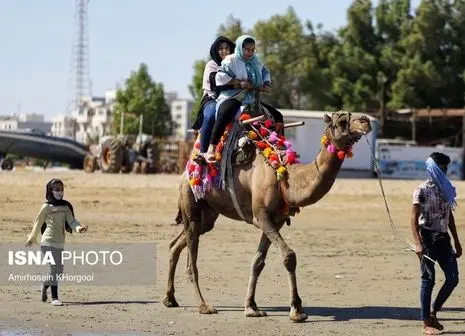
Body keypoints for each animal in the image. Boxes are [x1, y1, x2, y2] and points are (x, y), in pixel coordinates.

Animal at [161, 110, 372, 322]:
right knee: (192, 258)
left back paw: (170, 298)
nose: (365, 121)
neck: (285, 178)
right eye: (342, 120)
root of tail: (185, 171)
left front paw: (251, 307)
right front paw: (297, 310)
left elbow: (258, 262)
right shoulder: (261, 215)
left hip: (209, 214)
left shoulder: (276, 220)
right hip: (191, 199)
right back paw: (204, 306)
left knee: (176, 243)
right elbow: (289, 256)